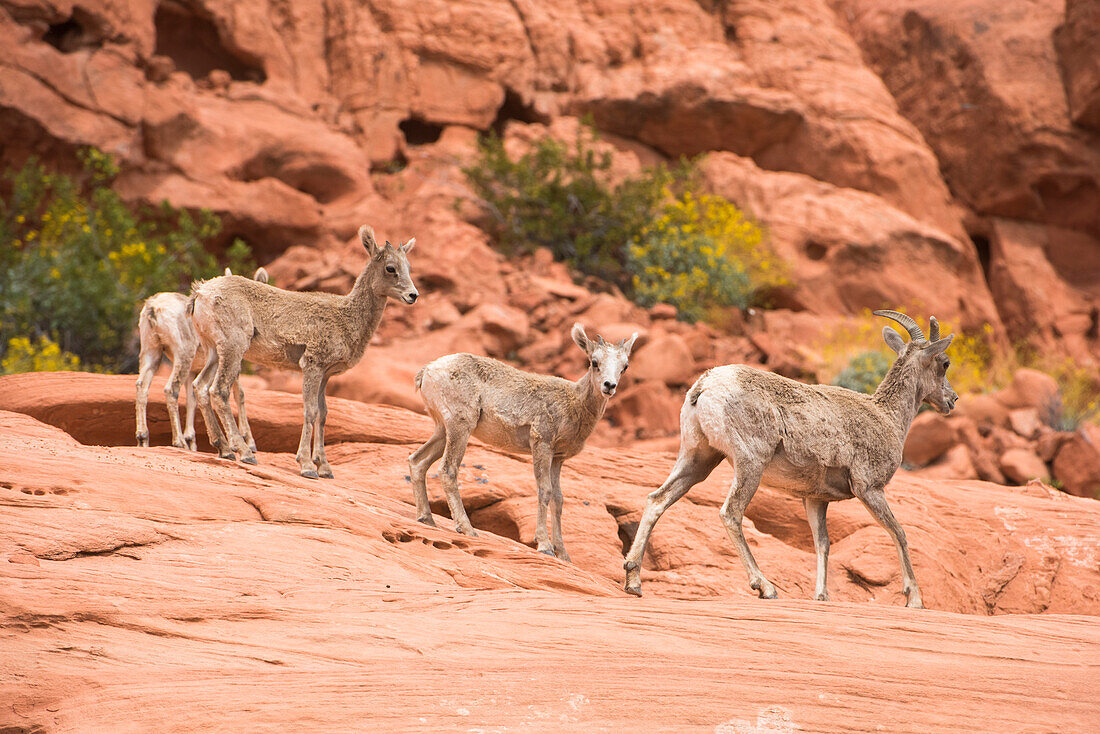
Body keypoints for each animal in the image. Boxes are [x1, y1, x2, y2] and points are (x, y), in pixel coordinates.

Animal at [135, 267, 268, 451]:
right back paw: (179, 442)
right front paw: (249, 443)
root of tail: (154, 307)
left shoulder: (195, 371)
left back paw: (143, 439)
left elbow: (192, 400)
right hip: (183, 355)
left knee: (142, 386)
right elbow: (239, 394)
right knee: (170, 389)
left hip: (151, 352)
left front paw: (193, 443)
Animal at [189, 224, 415, 477]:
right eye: (390, 268)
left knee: (200, 387)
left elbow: (323, 415)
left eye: (408, 267)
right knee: (219, 391)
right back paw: (245, 452)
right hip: (233, 347)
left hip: (213, 351)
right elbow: (310, 411)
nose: (413, 295)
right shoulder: (312, 365)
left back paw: (224, 449)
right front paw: (307, 466)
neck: (346, 318)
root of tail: (201, 293)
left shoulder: (326, 374)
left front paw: (325, 468)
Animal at [411, 323, 638, 559]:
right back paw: (467, 529)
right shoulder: (541, 444)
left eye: (625, 366)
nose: (609, 385)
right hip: (460, 426)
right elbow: (544, 491)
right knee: (448, 470)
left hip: (442, 429)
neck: (575, 404)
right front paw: (545, 546)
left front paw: (564, 555)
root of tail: (427, 371)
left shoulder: (558, 458)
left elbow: (558, 499)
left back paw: (427, 519)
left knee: (417, 461)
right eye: (594, 362)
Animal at [624, 310, 959, 607]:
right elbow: (899, 533)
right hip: (750, 464)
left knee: (657, 499)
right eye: (944, 363)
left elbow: (822, 544)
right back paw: (766, 588)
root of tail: (706, 386)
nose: (952, 400)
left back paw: (633, 581)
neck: (888, 416)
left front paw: (821, 597)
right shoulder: (870, 489)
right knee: (730, 513)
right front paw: (914, 599)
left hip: (698, 458)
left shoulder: (815, 499)